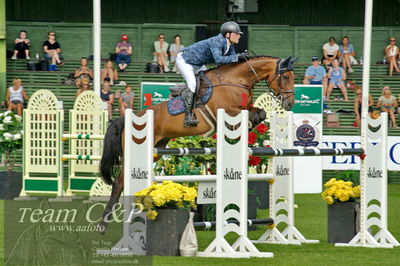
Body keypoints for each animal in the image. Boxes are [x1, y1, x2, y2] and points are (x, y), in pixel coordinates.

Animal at [98, 55, 296, 232]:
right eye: (286, 77)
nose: (289, 104)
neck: (236, 80)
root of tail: (129, 118)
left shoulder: (246, 107)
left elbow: (261, 113)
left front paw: (250, 126)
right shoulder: (228, 110)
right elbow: (249, 115)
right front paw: (242, 126)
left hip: (157, 148)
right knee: (118, 183)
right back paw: (103, 224)